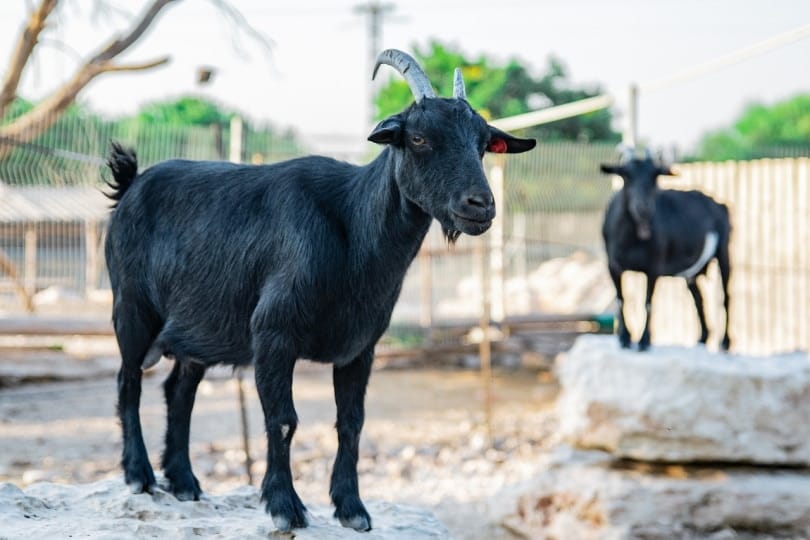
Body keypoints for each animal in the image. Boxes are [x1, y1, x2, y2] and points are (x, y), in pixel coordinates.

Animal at [104, 49, 535, 532]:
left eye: (482, 142)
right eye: (419, 137)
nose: (480, 205)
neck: (351, 230)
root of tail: (130, 184)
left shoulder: (360, 347)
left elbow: (352, 423)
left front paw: (352, 509)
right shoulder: (273, 333)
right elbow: (283, 420)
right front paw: (285, 506)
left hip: (197, 332)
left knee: (178, 392)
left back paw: (184, 482)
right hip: (131, 307)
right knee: (128, 382)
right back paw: (139, 475)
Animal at [599, 147, 731, 352]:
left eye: (655, 176)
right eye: (626, 175)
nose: (643, 208)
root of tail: (718, 204)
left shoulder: (654, 266)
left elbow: (648, 302)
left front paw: (644, 341)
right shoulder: (612, 266)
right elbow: (622, 299)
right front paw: (625, 339)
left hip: (724, 252)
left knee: (725, 296)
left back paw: (725, 342)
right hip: (691, 273)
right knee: (698, 297)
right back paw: (702, 338)